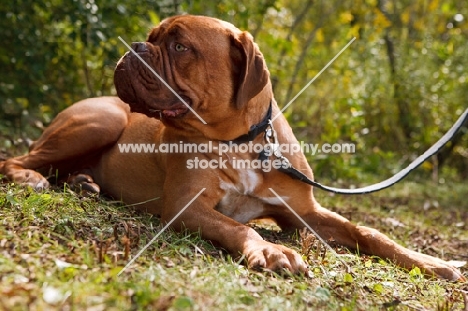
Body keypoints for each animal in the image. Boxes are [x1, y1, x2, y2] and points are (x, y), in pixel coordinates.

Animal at [0, 15, 464, 282]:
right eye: (152, 38)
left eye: (179, 46)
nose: (134, 47)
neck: (239, 141)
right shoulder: (187, 206)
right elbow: (240, 227)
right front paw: (272, 250)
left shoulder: (305, 213)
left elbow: (369, 232)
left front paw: (430, 261)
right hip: (102, 120)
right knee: (15, 158)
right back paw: (32, 177)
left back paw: (84, 182)